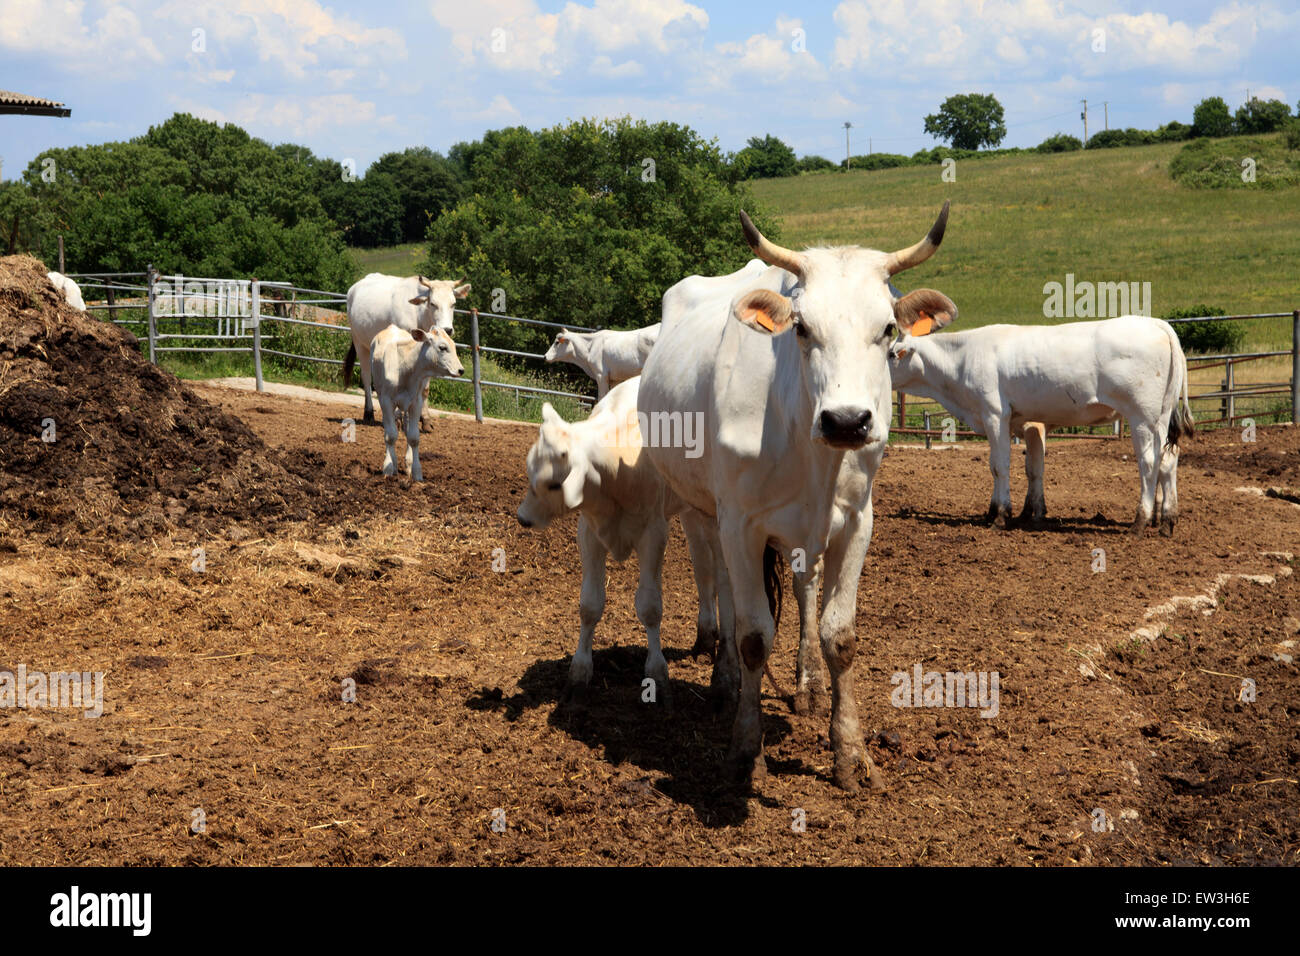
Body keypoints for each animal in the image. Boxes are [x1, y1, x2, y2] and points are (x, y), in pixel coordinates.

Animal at [343, 277, 470, 426]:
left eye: (453, 303)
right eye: (433, 303)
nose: (447, 329)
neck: (419, 315)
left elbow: (424, 388)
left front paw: (425, 419)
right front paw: (399, 418)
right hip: (359, 342)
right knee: (366, 377)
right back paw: (369, 413)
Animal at [369, 325, 465, 481]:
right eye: (442, 347)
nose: (461, 370)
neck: (405, 368)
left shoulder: (416, 402)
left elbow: (413, 437)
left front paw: (416, 472)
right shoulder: (386, 401)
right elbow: (391, 435)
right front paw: (388, 467)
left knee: (407, 429)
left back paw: (407, 464)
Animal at [639, 204, 956, 790]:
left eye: (888, 329)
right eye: (802, 328)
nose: (848, 421)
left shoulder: (856, 521)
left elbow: (840, 635)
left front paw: (850, 752)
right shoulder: (740, 523)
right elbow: (752, 635)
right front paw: (746, 746)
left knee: (804, 586)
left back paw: (806, 684)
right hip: (703, 509)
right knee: (720, 583)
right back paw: (725, 680)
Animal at [889, 316, 1190, 535]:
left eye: (893, 354)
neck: (963, 358)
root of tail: (1156, 323)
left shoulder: (995, 415)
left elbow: (1000, 466)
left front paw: (1001, 516)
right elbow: (1021, 467)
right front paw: (1000, 511)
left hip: (1143, 416)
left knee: (1149, 462)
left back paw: (1140, 521)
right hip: (1161, 417)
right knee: (1168, 460)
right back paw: (1167, 521)